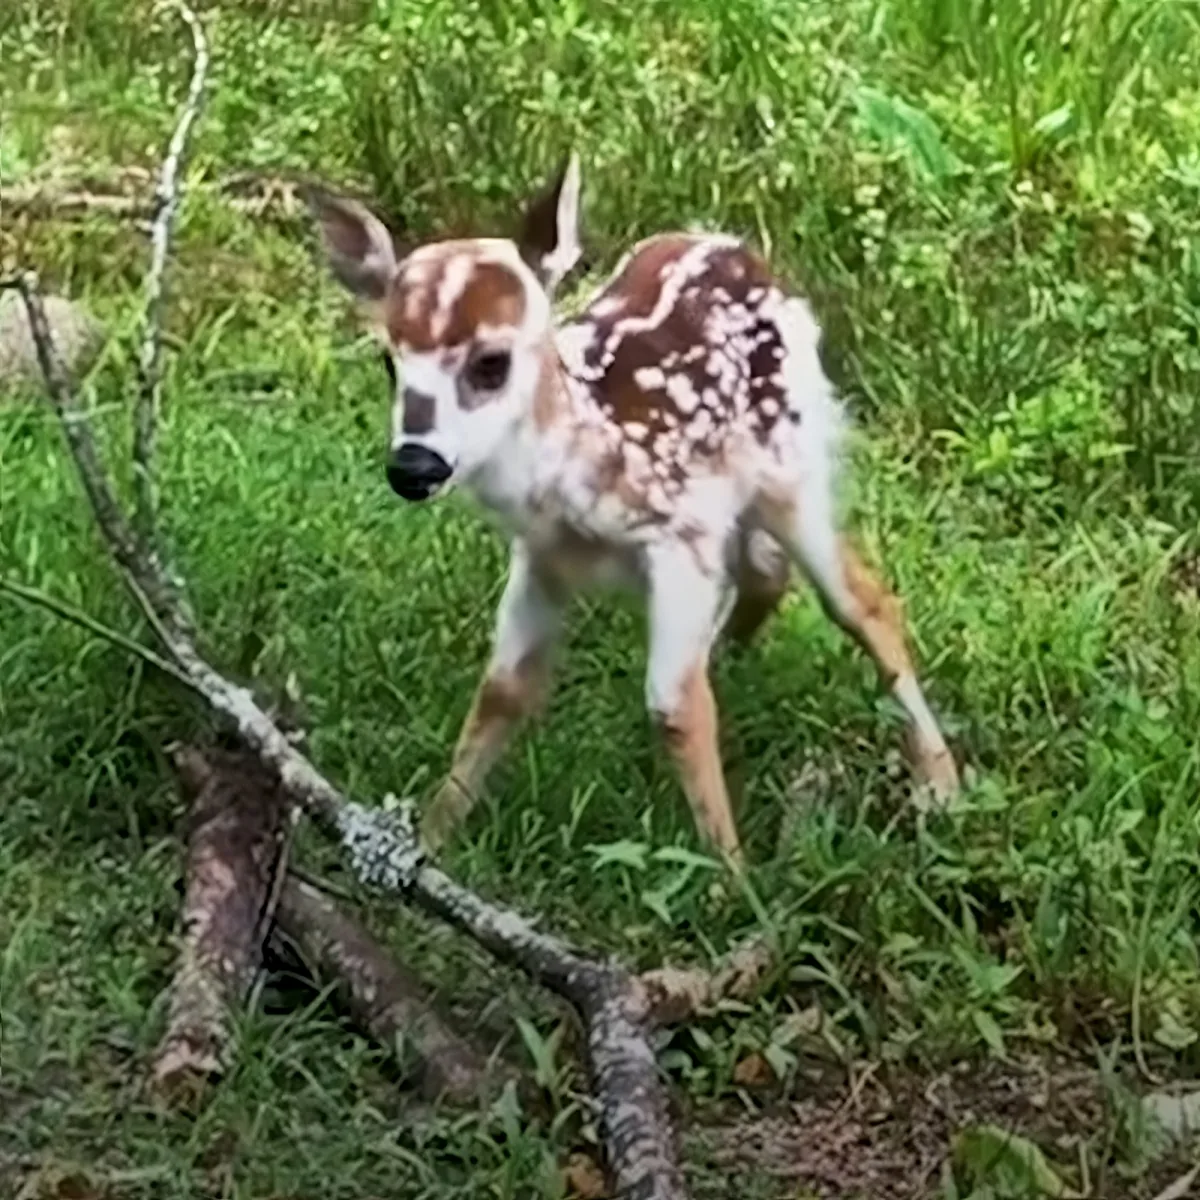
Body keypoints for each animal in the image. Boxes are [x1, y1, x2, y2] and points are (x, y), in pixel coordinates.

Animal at [306, 155, 960, 866]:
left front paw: (734, 877)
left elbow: (675, 707)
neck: (579, 475)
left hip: (792, 463)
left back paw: (943, 787)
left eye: (491, 362)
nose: (414, 466)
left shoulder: (682, 538)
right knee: (767, 573)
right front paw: (425, 843)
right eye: (388, 360)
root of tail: (740, 249)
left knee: (863, 600)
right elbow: (504, 691)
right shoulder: (541, 557)